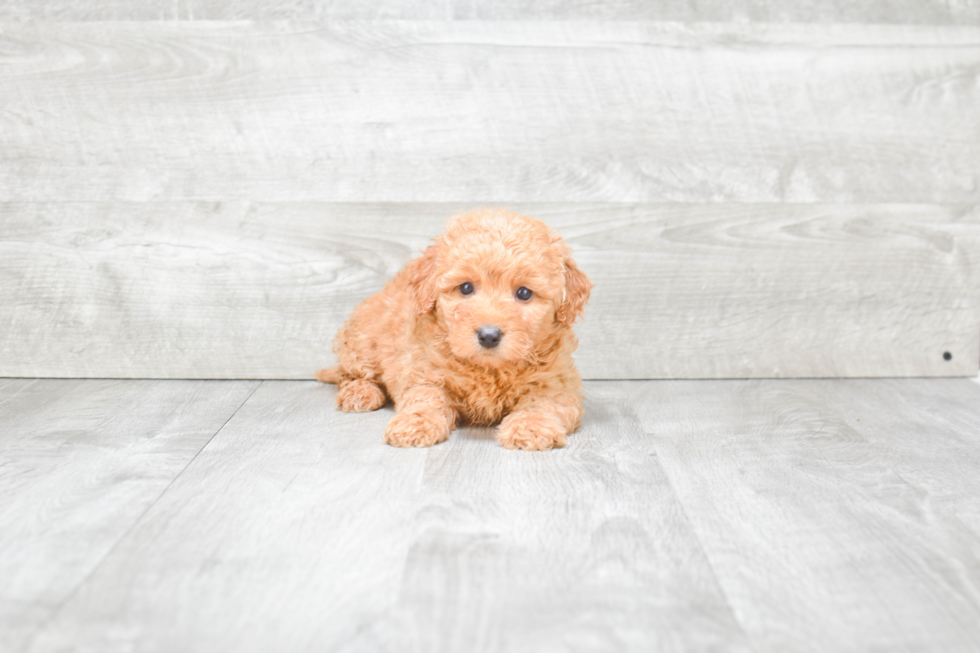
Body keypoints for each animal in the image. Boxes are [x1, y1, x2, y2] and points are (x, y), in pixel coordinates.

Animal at [316, 209, 588, 448]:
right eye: (466, 287)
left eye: (524, 293)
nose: (489, 336)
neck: (489, 369)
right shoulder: (424, 373)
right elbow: (426, 398)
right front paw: (415, 424)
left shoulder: (557, 385)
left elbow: (544, 404)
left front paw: (530, 427)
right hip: (363, 339)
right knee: (350, 374)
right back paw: (359, 393)